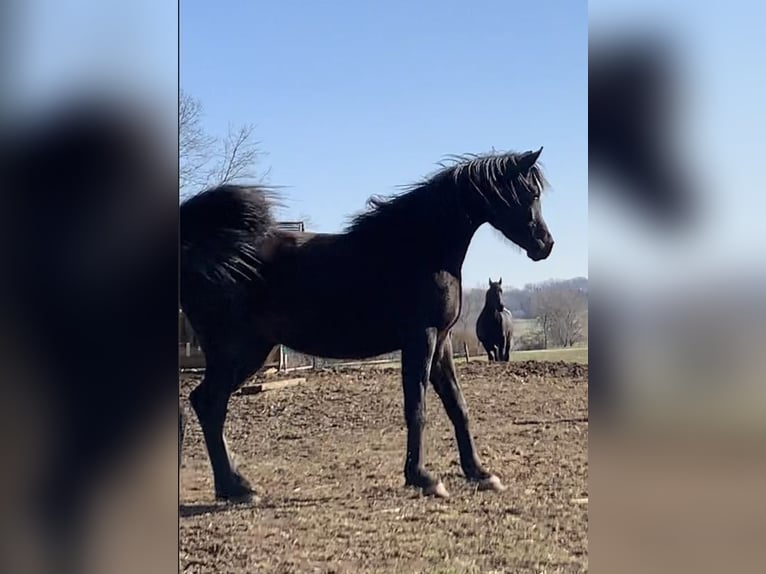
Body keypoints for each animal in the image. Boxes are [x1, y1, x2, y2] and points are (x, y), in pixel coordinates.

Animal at [179, 147, 554, 501]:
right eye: (531, 193)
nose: (545, 245)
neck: (419, 248)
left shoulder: (443, 342)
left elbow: (457, 406)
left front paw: (480, 472)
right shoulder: (421, 338)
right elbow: (416, 407)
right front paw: (423, 478)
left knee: (206, 405)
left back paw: (233, 486)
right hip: (236, 352)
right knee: (209, 404)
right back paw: (237, 488)